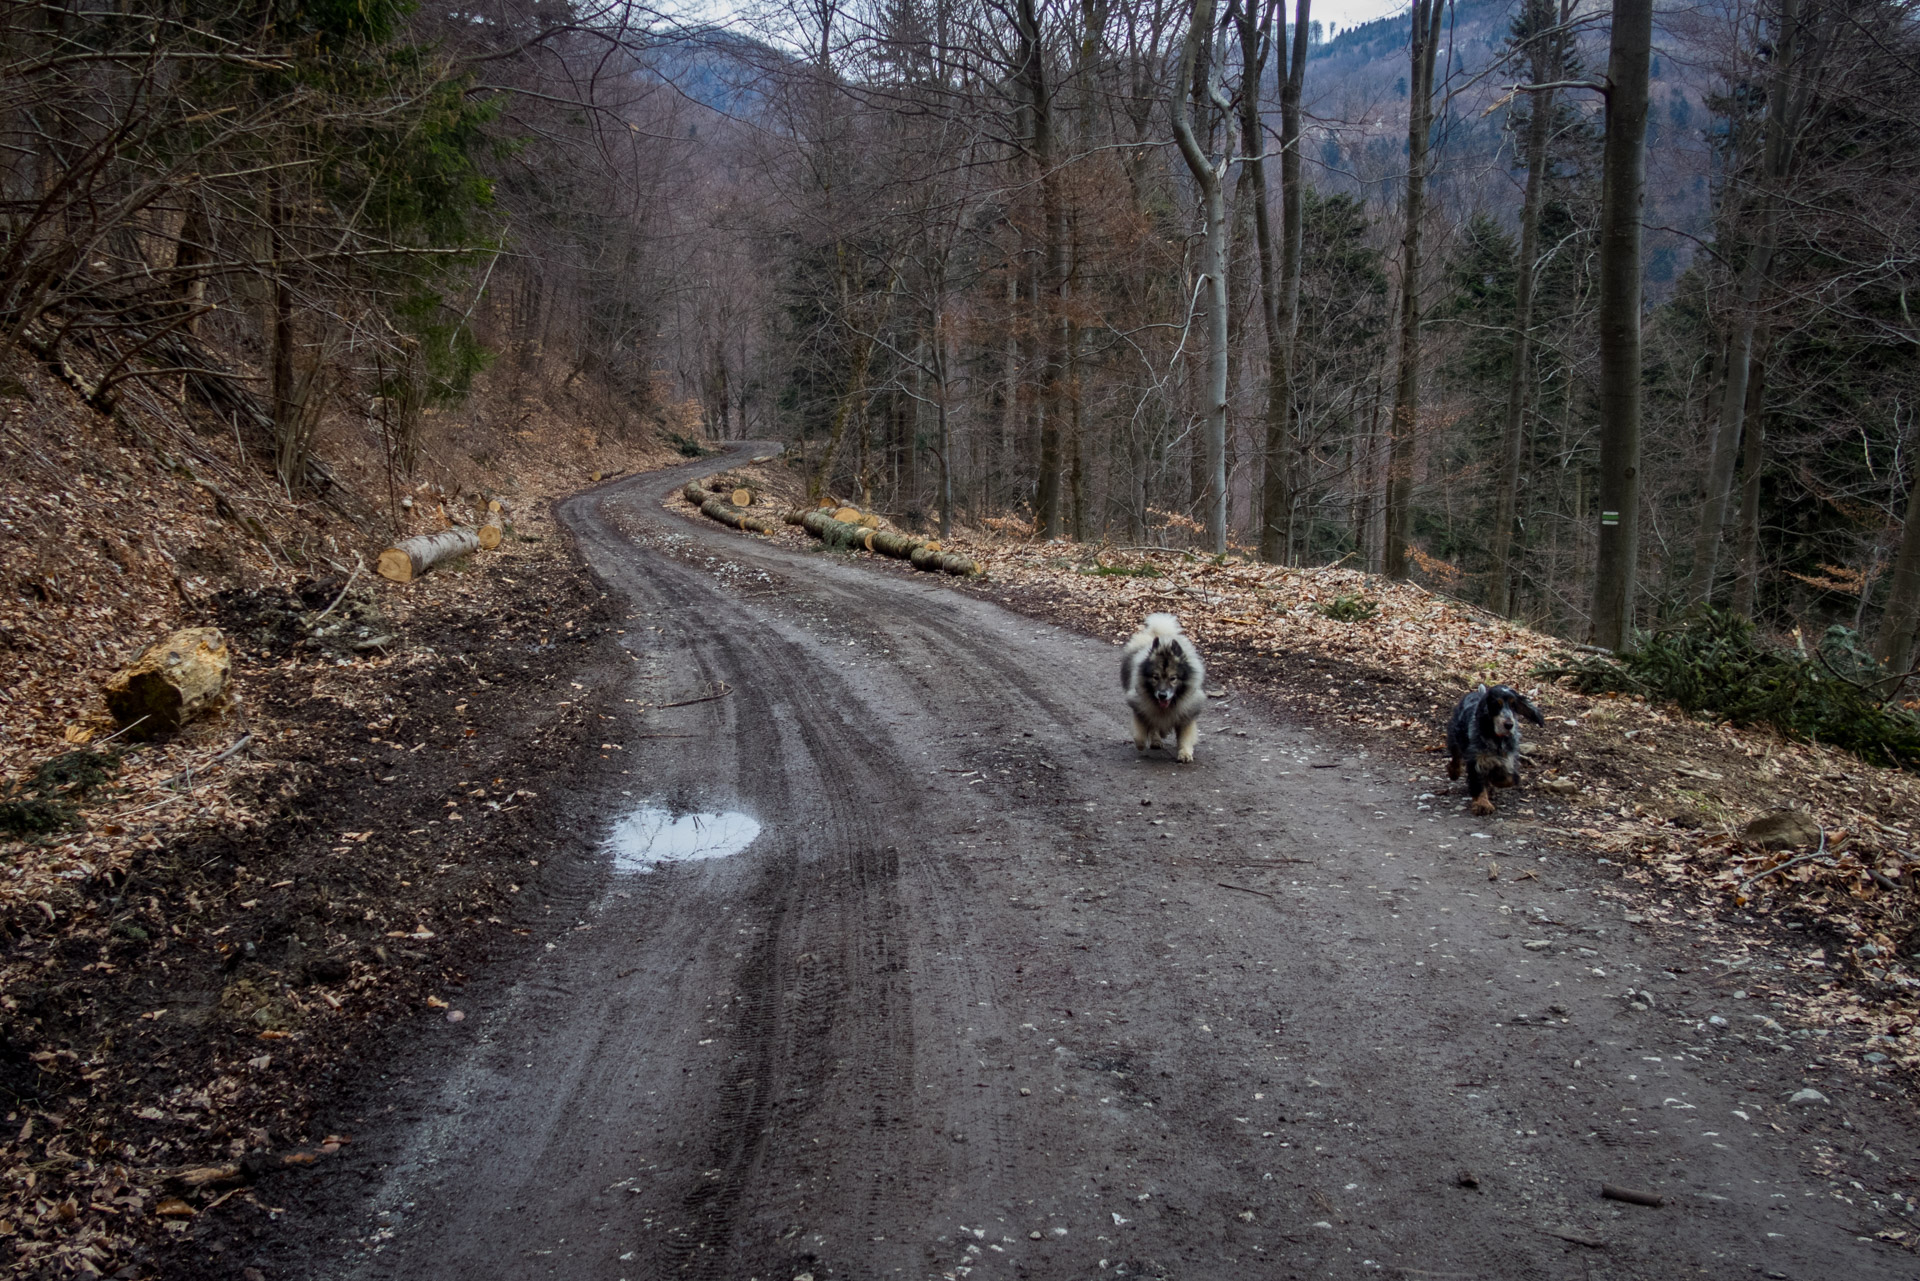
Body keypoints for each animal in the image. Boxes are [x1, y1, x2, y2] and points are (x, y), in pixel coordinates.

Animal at [1121, 610, 1205, 760]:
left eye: (1173, 678)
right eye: (1156, 677)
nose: (1162, 695)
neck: (1167, 707)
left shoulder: (1187, 714)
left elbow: (1185, 737)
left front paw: (1185, 753)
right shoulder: (1141, 708)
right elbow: (1140, 735)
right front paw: (1141, 744)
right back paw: (1155, 741)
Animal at [1451, 687, 1543, 818]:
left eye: (1513, 705)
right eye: (1496, 705)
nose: (1509, 725)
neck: (1496, 738)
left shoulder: (1508, 759)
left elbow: (1508, 778)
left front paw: (1495, 778)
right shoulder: (1476, 759)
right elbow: (1478, 783)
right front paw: (1483, 804)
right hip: (1454, 736)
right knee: (1456, 755)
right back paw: (1454, 771)